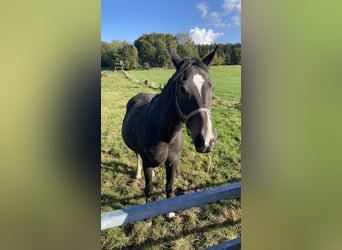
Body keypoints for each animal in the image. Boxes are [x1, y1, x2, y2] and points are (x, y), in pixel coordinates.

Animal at [121, 47, 216, 223]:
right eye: (181, 89)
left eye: (211, 88)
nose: (207, 140)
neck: (165, 135)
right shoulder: (148, 163)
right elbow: (149, 188)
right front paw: (148, 218)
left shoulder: (173, 162)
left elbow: (169, 185)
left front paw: (169, 213)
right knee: (137, 156)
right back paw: (137, 174)